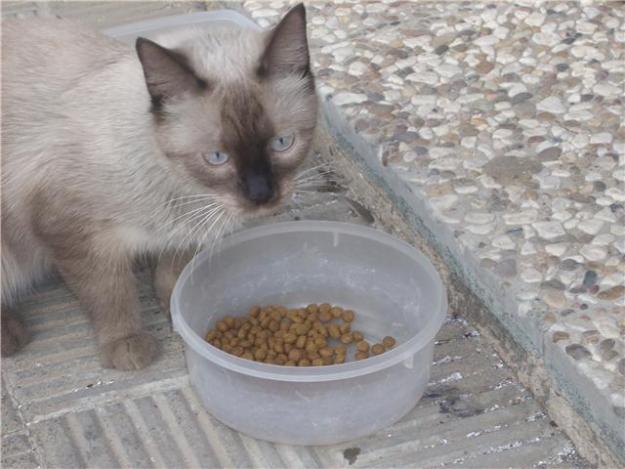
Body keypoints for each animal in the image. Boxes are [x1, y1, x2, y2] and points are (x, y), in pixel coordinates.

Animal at [1, 4, 316, 370]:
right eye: (217, 157)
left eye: (283, 142)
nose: (261, 195)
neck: (184, 189)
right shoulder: (74, 233)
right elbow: (110, 293)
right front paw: (126, 344)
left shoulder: (188, 231)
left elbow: (174, 272)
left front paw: (176, 308)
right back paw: (10, 334)